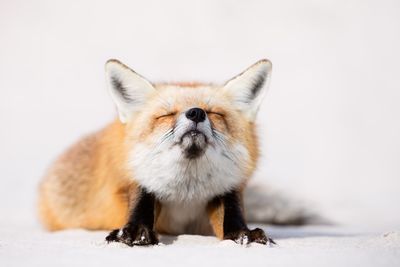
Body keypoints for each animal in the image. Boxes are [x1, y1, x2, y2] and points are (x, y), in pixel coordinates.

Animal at [39, 58, 278, 247]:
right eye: (167, 115)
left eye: (214, 113)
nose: (196, 113)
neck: (188, 190)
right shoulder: (131, 178)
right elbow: (142, 198)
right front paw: (135, 232)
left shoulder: (228, 186)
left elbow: (230, 213)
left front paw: (242, 234)